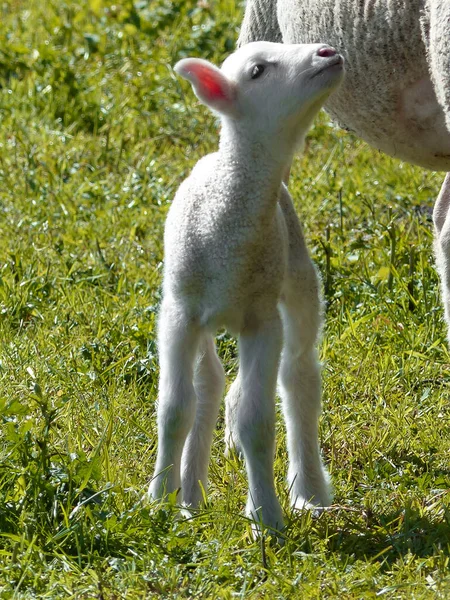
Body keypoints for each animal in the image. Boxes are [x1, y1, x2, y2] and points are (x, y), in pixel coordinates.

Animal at [148, 41, 344, 528]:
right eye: (257, 71)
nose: (328, 51)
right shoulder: (179, 313)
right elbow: (174, 409)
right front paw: (158, 499)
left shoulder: (261, 320)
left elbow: (256, 421)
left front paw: (266, 517)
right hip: (201, 314)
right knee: (208, 383)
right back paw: (190, 496)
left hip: (298, 276)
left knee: (298, 374)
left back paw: (309, 491)